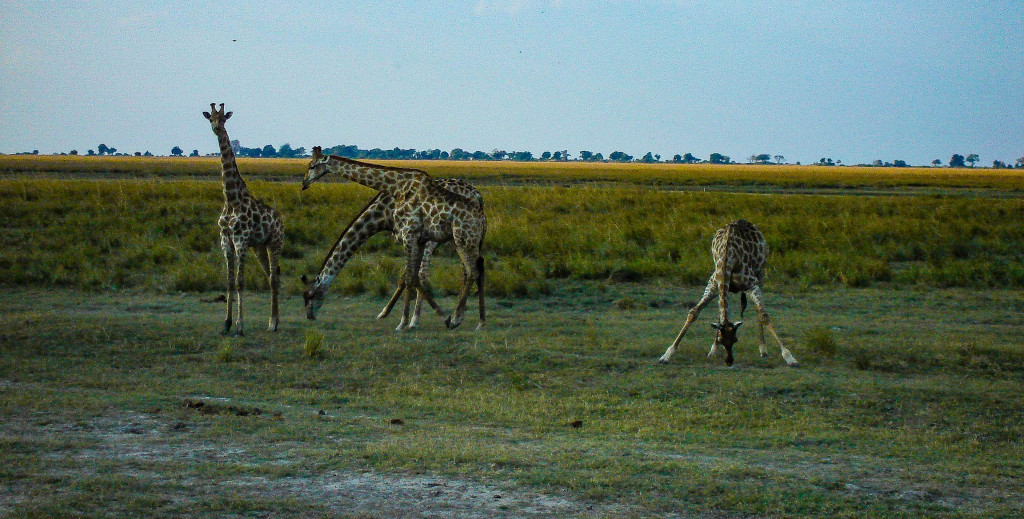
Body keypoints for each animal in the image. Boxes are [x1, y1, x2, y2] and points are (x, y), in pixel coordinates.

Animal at [202, 103, 286, 337]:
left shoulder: (240, 241)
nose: (216, 128)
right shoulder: (226, 242)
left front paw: (239, 326)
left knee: (274, 278)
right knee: (271, 276)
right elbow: (230, 282)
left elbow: (240, 282)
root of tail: (280, 219)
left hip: (275, 243)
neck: (231, 199)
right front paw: (226, 324)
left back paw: (273, 323)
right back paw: (273, 321)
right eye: (210, 118)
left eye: (224, 118)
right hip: (259, 247)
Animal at [301, 148, 485, 331]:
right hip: (465, 241)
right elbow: (411, 276)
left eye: (312, 166)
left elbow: (411, 276)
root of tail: (478, 198)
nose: (304, 183)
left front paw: (406, 321)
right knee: (474, 268)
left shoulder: (410, 235)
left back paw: (458, 319)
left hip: (461, 239)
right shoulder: (417, 239)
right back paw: (474, 320)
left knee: (471, 271)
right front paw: (401, 317)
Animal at [659, 218, 794, 366]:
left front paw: (789, 357)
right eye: (721, 341)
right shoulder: (713, 285)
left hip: (761, 273)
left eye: (735, 340)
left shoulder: (752, 284)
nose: (729, 361)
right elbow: (694, 313)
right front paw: (667, 355)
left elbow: (764, 315)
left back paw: (763, 350)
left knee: (758, 310)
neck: (727, 259)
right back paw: (714, 351)